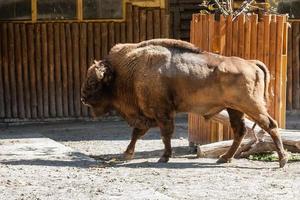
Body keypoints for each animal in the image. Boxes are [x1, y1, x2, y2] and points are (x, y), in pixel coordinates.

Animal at [80, 38, 288, 167]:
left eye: (93, 82)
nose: (83, 98)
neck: (127, 71)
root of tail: (251, 63)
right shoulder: (148, 115)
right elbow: (137, 133)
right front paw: (126, 154)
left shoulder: (161, 113)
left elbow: (164, 134)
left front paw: (163, 157)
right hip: (234, 109)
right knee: (240, 130)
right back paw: (224, 158)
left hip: (251, 105)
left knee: (270, 125)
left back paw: (282, 160)